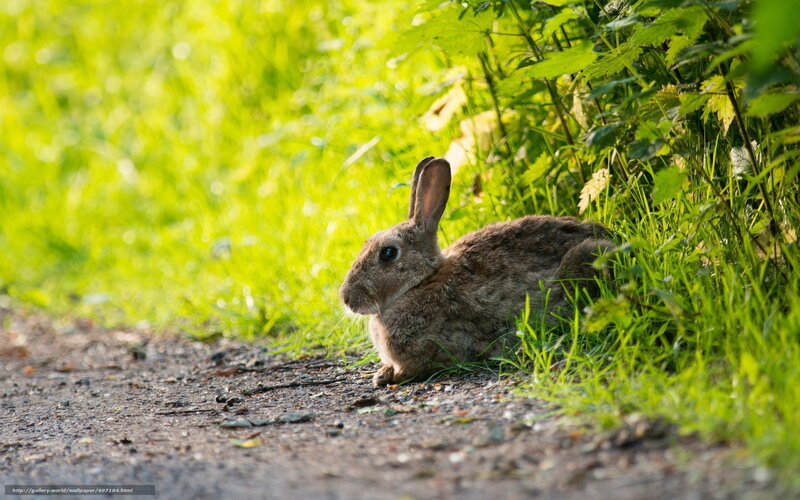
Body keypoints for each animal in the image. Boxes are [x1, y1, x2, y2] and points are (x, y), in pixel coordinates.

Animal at [339, 156, 615, 387]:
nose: (346, 298)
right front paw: (382, 373)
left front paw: (386, 377)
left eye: (387, 253)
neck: (423, 282)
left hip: (587, 259)